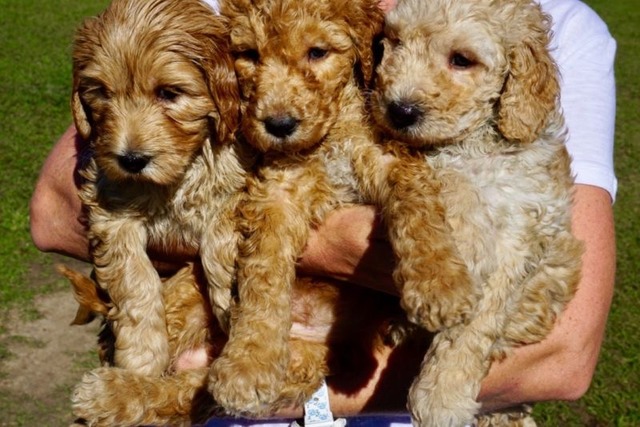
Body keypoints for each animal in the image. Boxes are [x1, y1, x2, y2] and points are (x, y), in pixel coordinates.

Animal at [70, 0, 250, 378]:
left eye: (169, 93)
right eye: (102, 93)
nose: (131, 160)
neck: (176, 178)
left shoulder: (238, 183)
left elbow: (219, 241)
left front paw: (229, 306)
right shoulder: (112, 211)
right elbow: (134, 280)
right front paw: (141, 356)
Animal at [370, 0, 584, 424]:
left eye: (462, 60)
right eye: (394, 43)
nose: (400, 110)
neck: (473, 143)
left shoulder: (520, 230)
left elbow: (476, 324)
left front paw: (443, 398)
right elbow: (451, 185)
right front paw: (468, 236)